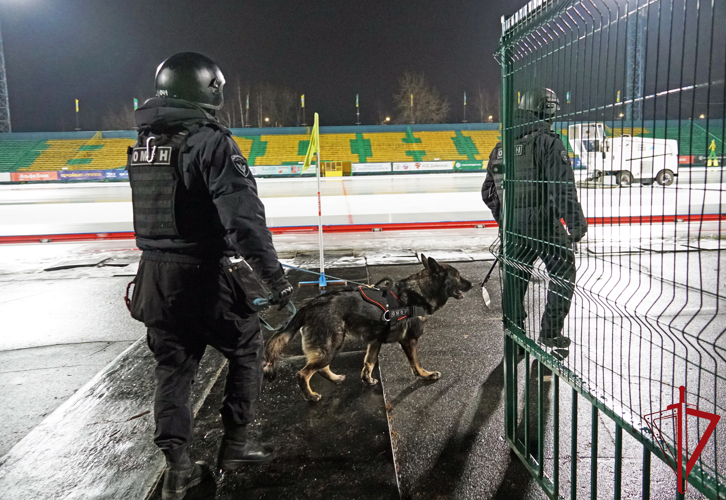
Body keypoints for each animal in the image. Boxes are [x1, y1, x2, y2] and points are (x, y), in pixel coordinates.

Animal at [264, 256, 474, 400]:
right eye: (458, 276)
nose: (472, 284)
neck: (420, 291)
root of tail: (309, 305)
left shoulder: (375, 342)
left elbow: (369, 363)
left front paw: (367, 379)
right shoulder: (410, 341)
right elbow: (416, 363)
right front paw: (426, 375)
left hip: (329, 346)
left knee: (320, 368)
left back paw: (335, 379)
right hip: (332, 345)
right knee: (303, 373)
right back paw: (310, 396)